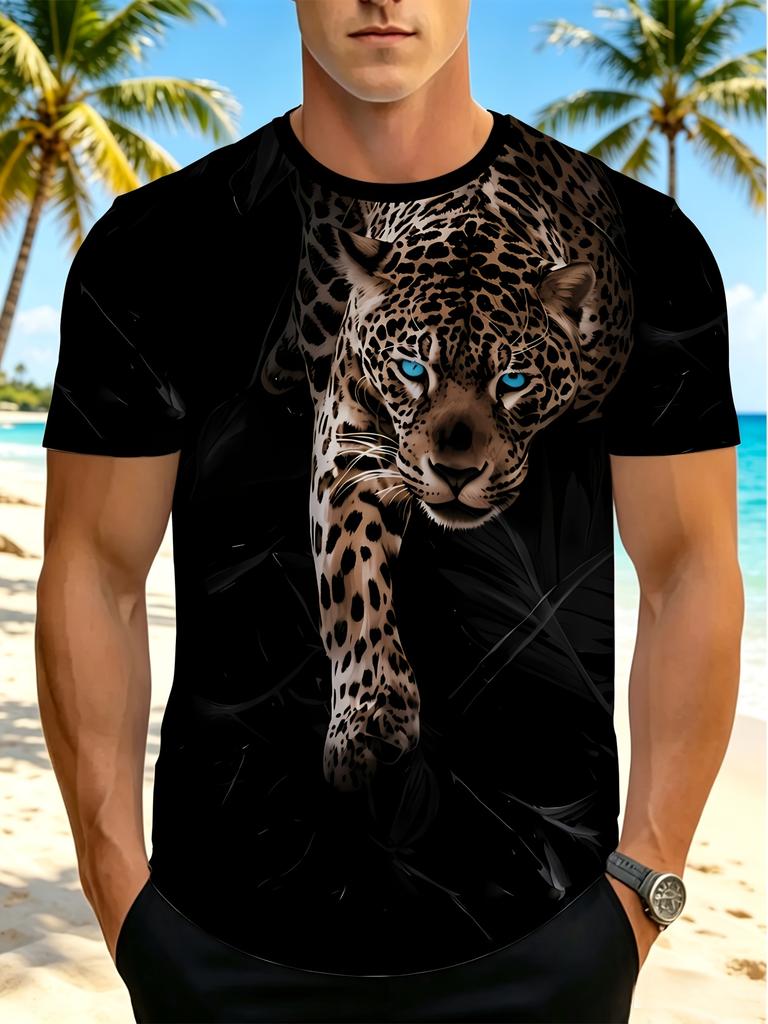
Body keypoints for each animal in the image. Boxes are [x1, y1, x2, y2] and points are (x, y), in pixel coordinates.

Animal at [260, 113, 635, 792]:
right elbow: (354, 583)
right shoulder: (351, 450)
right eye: (413, 370)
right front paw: (369, 718)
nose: (456, 474)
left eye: (513, 380)